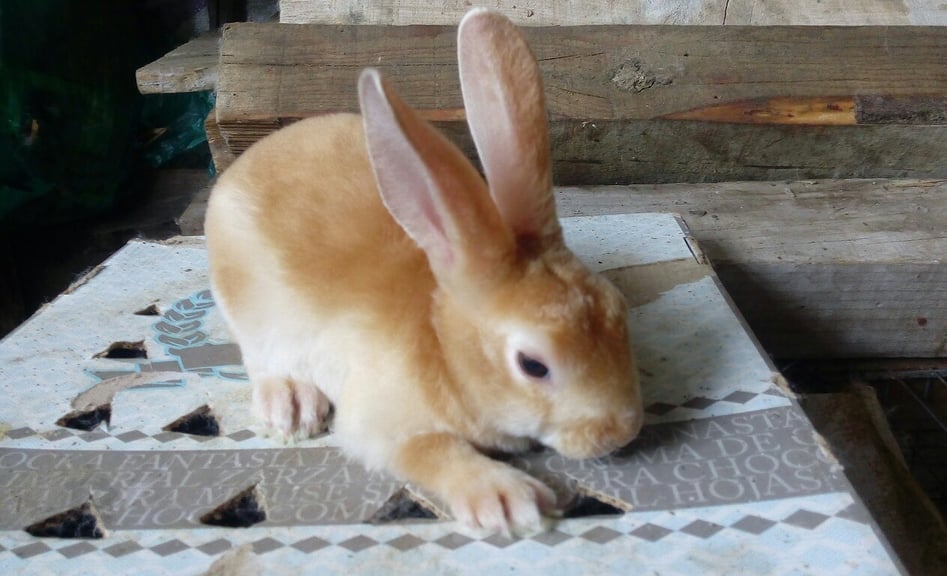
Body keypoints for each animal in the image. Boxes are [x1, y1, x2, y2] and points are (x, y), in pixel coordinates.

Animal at [204, 8, 643, 535]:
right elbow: (428, 450)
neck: (442, 345)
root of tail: (247, 161)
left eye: (618, 309)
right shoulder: (381, 425)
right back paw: (291, 403)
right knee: (259, 357)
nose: (622, 431)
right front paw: (509, 500)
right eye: (534, 365)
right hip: (248, 306)